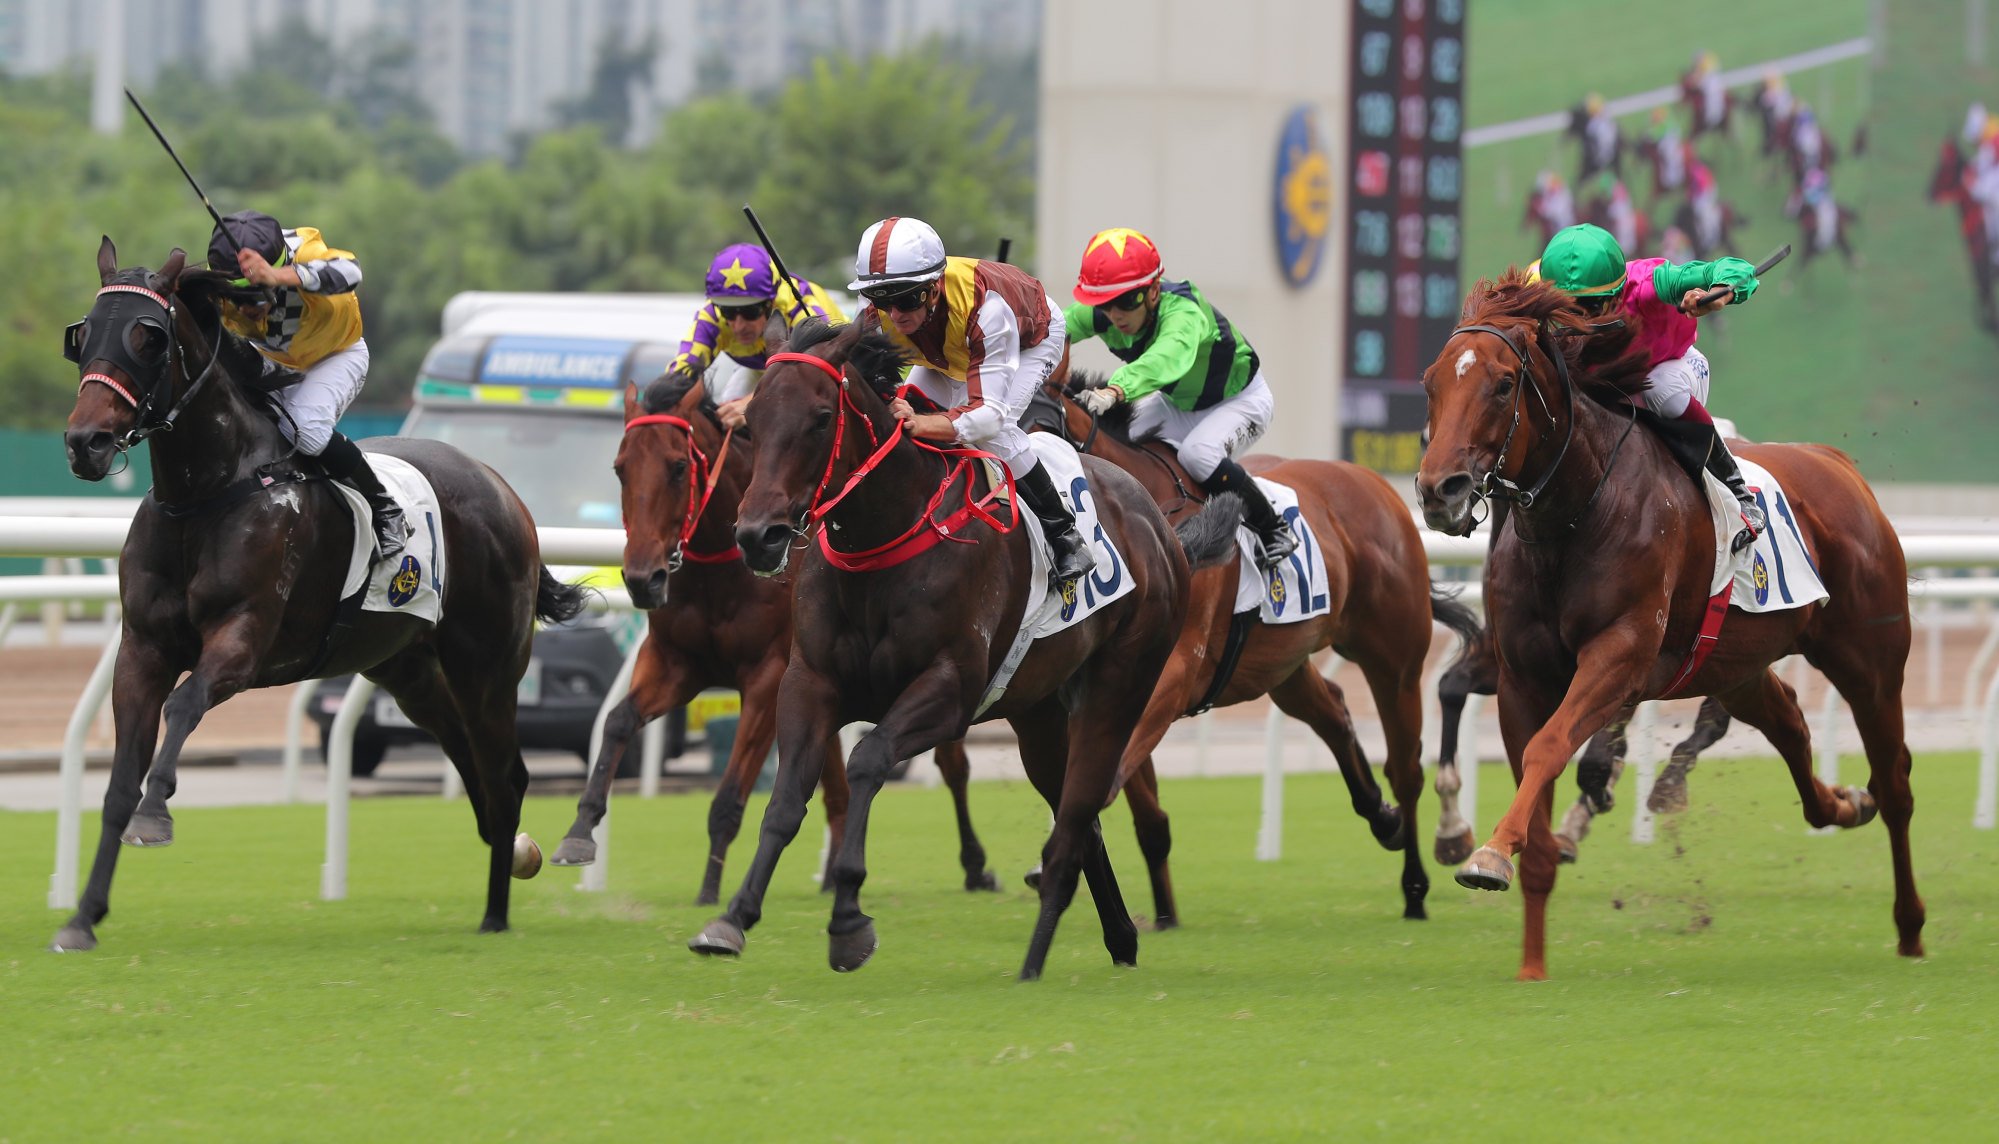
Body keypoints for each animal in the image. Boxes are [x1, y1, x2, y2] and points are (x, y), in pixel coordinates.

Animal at [60, 239, 579, 948]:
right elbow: (117, 781)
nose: (86, 442)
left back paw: (497, 912)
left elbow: (185, 704)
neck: (210, 492)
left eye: (148, 337)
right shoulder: (142, 649)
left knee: (505, 775)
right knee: (471, 760)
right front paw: (83, 917)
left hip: (488, 666)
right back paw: (510, 862)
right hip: (407, 669)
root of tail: (503, 490)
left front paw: (155, 813)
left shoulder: (244, 639)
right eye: (83, 335)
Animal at [551, 368, 995, 904]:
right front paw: (579, 832)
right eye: (620, 469)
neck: (721, 571)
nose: (642, 579)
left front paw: (709, 891)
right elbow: (617, 721)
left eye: (678, 467)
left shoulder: (768, 678)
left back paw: (977, 866)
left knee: (953, 765)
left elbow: (728, 797)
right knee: (839, 784)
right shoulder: (677, 662)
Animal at [687, 318, 1231, 980]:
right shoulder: (809, 682)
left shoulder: (948, 690)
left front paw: (848, 919)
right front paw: (732, 918)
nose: (757, 536)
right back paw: (1119, 936)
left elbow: (868, 759)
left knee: (1079, 808)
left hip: (1121, 685)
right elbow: (787, 800)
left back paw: (1038, 957)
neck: (886, 533)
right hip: (1039, 715)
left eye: (819, 418)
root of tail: (1160, 522)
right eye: (754, 419)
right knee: (1079, 815)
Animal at [1023, 380, 1479, 924]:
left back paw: (1416, 882)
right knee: (1333, 711)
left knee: (1406, 767)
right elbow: (1136, 806)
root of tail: (1377, 487)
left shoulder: (1174, 676)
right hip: (1281, 665)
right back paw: (1381, 816)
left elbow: (1108, 778)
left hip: (1396, 660)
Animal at [1415, 268, 1927, 976]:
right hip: (1738, 665)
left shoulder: (1621, 656)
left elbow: (1552, 746)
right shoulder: (1521, 672)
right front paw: (1530, 957)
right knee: (1791, 724)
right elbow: (1526, 762)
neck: (1575, 511)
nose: (1441, 489)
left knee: (1896, 782)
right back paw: (1842, 804)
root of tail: (1837, 464)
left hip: (1870, 660)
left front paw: (1490, 853)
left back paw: (1910, 926)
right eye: (1432, 381)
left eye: (1502, 383)